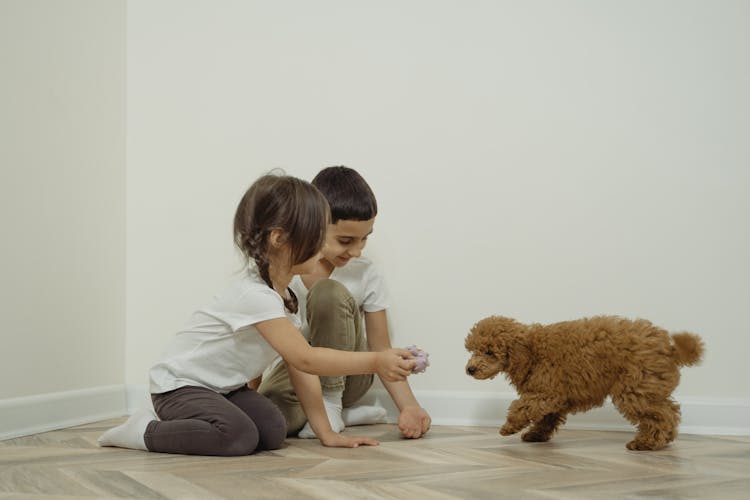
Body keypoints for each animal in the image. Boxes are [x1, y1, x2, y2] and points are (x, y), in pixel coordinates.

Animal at [468, 318, 708, 452]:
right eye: (472, 350)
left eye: (489, 352)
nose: (470, 369)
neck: (532, 349)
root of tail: (670, 348)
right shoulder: (555, 396)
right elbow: (547, 418)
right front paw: (536, 435)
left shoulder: (546, 392)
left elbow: (522, 407)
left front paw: (508, 427)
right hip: (647, 388)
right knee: (669, 411)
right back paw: (663, 439)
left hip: (635, 389)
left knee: (660, 415)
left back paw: (647, 443)